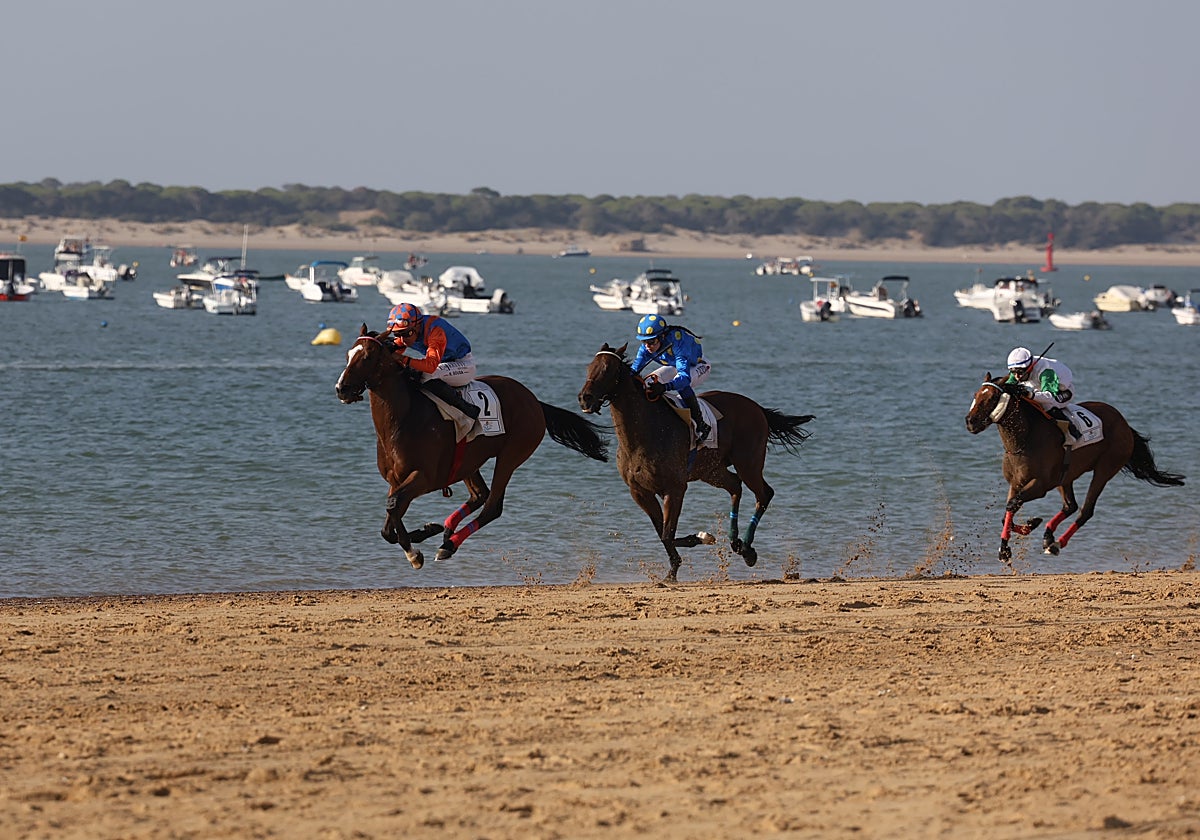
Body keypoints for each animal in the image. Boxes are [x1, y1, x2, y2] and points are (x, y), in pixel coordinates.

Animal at [335, 327, 609, 568]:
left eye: (367, 356)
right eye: (348, 354)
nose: (342, 389)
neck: (403, 419)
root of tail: (534, 400)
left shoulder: (424, 477)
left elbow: (393, 507)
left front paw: (415, 554)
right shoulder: (396, 479)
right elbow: (390, 520)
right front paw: (425, 532)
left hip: (511, 455)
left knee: (492, 506)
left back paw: (449, 545)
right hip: (468, 462)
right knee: (480, 495)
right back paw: (445, 529)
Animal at [577, 342, 814, 581]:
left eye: (608, 369)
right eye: (589, 367)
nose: (584, 398)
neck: (645, 434)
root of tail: (756, 407)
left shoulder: (675, 488)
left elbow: (667, 533)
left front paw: (700, 538)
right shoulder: (640, 492)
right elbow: (662, 533)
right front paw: (673, 570)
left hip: (748, 463)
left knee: (763, 494)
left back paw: (747, 549)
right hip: (711, 470)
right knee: (735, 486)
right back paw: (735, 541)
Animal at [965, 374, 1184, 562]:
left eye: (992, 397)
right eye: (975, 395)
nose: (970, 422)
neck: (1026, 438)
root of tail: (1124, 423)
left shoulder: (1040, 485)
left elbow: (1011, 506)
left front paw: (1026, 528)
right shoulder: (1016, 483)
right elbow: (1007, 514)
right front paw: (1012, 542)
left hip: (1105, 469)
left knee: (1085, 510)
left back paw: (1056, 544)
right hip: (1065, 476)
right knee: (1070, 505)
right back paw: (1048, 535)